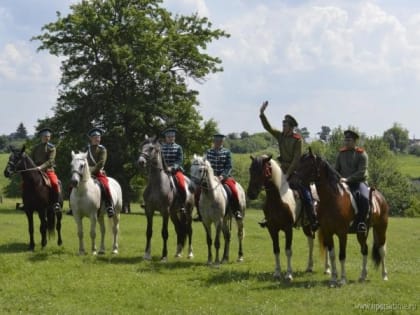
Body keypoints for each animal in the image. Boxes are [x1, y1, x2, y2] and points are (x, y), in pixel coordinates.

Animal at [296, 150, 390, 286]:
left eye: (308, 165)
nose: (294, 179)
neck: (332, 199)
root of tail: (380, 197)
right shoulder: (328, 232)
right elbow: (332, 254)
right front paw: (333, 278)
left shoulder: (342, 233)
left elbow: (342, 255)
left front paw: (343, 279)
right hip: (362, 233)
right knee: (365, 250)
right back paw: (362, 276)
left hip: (381, 228)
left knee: (382, 250)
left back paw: (384, 275)